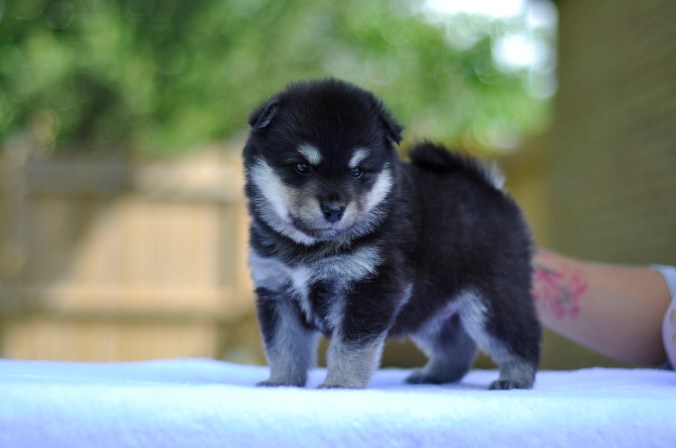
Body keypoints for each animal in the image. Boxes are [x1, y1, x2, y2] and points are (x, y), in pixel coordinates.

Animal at [243, 78, 540, 390]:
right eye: (301, 167)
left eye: (358, 172)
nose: (335, 209)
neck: (310, 247)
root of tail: (493, 191)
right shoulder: (277, 292)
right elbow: (283, 346)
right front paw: (282, 382)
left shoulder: (368, 288)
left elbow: (350, 347)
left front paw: (340, 384)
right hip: (432, 307)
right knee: (456, 347)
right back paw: (434, 375)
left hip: (491, 300)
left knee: (518, 340)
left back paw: (515, 378)